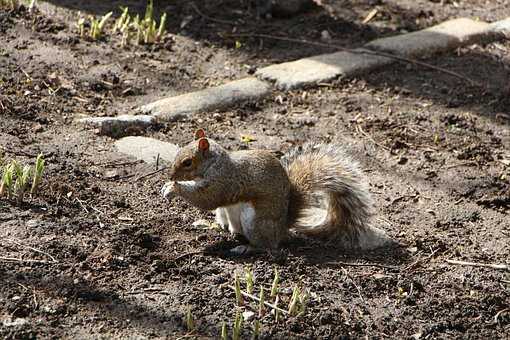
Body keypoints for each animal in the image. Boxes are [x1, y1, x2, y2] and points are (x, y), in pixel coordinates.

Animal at [161, 129, 392, 254]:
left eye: (187, 162)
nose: (171, 176)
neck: (214, 163)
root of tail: (282, 227)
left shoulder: (225, 181)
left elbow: (207, 198)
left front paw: (173, 188)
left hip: (255, 222)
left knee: (269, 246)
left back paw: (247, 248)